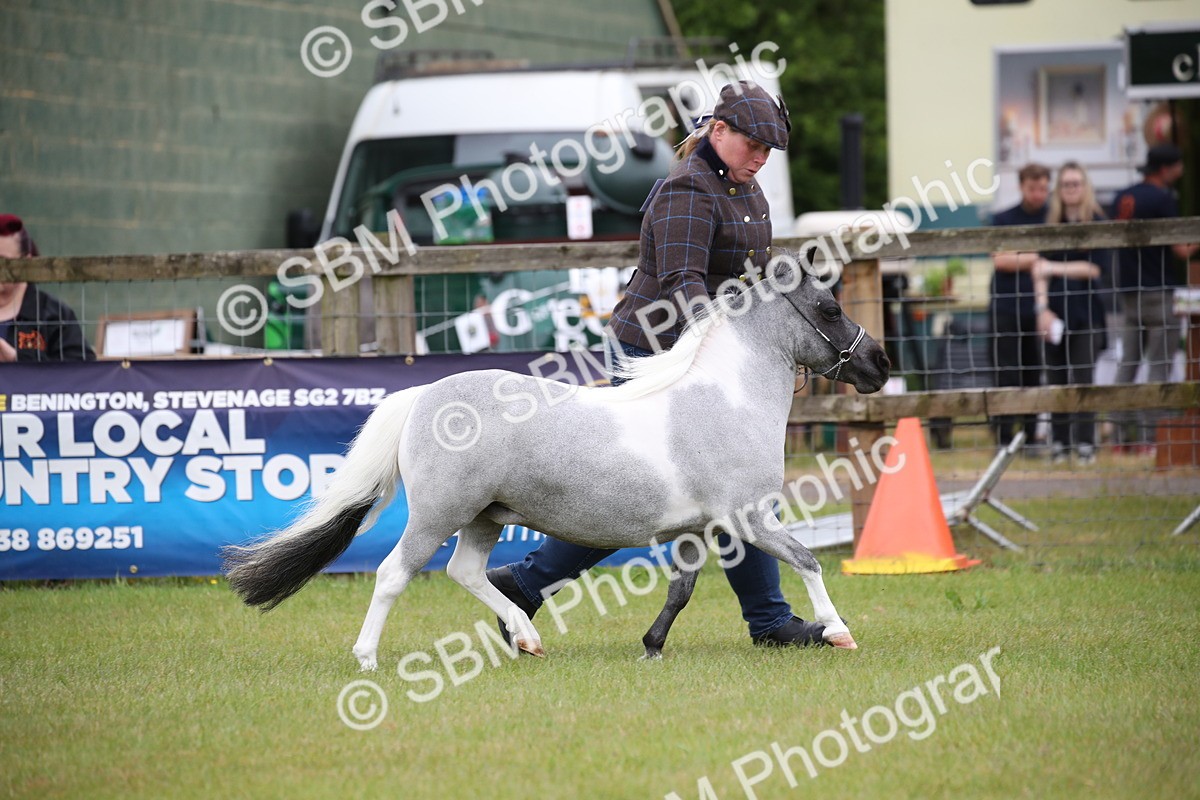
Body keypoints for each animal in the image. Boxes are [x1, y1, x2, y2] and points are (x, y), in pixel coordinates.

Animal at [222, 255, 891, 670]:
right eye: (829, 308)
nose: (879, 365)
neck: (725, 400)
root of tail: (423, 397)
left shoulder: (698, 530)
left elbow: (682, 590)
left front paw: (651, 647)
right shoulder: (749, 518)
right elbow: (806, 561)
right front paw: (837, 632)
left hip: (485, 517)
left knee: (468, 573)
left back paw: (527, 636)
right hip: (439, 514)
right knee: (393, 575)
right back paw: (368, 658)